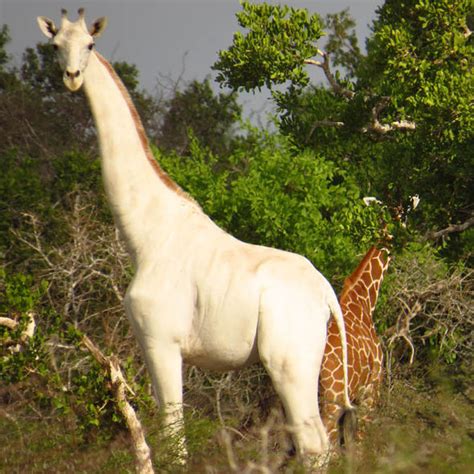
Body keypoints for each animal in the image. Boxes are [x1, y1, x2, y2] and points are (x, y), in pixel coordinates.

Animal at [39, 9, 354, 462]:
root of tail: (327, 295)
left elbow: (174, 438)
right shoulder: (149, 346)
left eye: (90, 44)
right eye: (54, 45)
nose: (72, 76)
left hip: (289, 362)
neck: (147, 235)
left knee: (314, 444)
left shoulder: (161, 340)